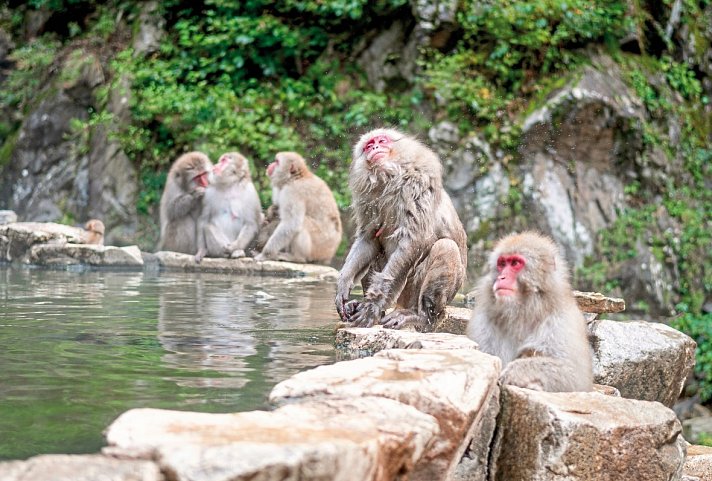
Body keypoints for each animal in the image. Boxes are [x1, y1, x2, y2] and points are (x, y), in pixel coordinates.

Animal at [336, 127, 470, 330]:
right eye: (368, 145)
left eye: (382, 141)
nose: (374, 148)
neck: (388, 177)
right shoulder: (367, 196)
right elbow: (369, 238)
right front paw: (343, 283)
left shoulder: (418, 183)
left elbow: (412, 241)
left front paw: (372, 307)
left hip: (411, 293)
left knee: (446, 247)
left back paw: (420, 316)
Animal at [468, 231, 596, 392]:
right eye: (502, 264)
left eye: (515, 263)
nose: (501, 277)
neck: (521, 310)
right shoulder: (483, 318)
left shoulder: (563, 320)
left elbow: (574, 375)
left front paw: (515, 372)